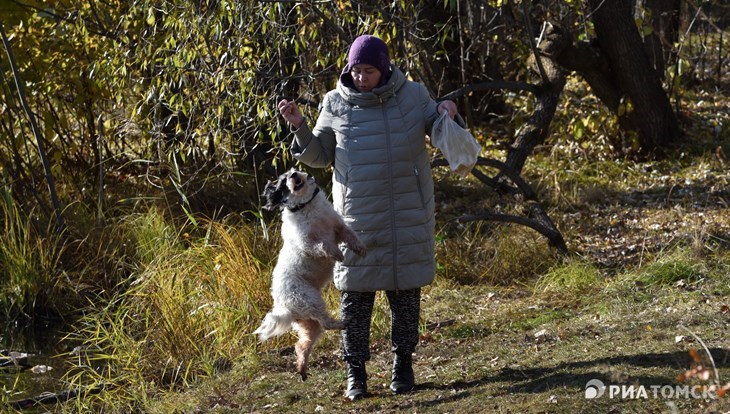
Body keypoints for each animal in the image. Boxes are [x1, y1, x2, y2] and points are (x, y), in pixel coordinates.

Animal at [253, 167, 364, 378]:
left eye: (294, 170)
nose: (294, 175)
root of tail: (284, 305)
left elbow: (349, 234)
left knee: (302, 345)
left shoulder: (337, 226)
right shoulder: (307, 242)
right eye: (284, 180)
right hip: (310, 300)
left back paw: (302, 367)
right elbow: (323, 246)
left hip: (308, 323)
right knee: (326, 324)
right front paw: (337, 254)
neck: (306, 206)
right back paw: (342, 323)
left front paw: (358, 247)